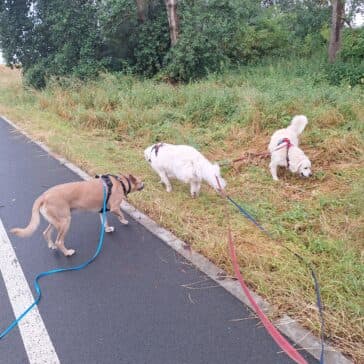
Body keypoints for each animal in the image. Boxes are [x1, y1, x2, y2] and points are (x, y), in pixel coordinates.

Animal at [10, 174, 144, 256]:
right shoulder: (115, 207)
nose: (145, 184)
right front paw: (124, 221)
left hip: (56, 221)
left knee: (46, 233)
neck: (121, 182)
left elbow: (105, 222)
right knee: (59, 241)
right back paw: (67, 253)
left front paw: (107, 229)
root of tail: (43, 196)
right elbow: (121, 215)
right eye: (141, 181)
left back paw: (51, 245)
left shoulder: (102, 212)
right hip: (65, 222)